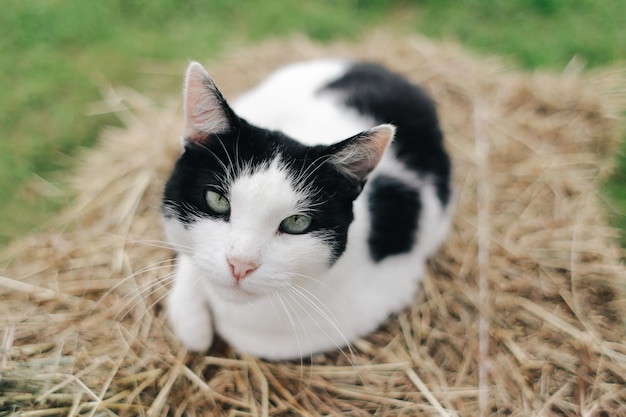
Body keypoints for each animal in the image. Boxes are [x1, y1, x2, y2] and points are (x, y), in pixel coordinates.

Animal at [163, 59, 450, 360]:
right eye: (217, 200)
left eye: (297, 222)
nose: (240, 264)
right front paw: (195, 322)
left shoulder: (389, 288)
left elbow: (255, 337)